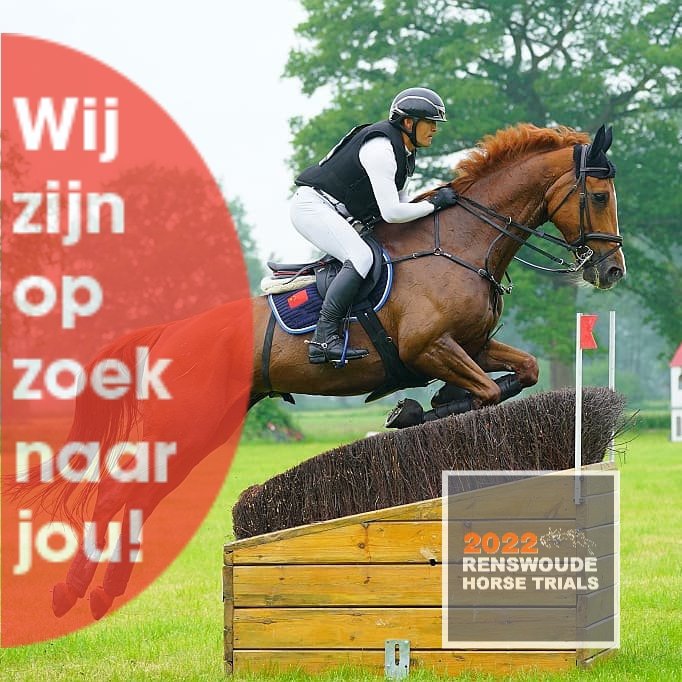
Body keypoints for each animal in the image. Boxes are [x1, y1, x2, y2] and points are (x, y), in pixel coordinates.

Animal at [43, 123, 624, 620]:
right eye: (599, 196)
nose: (611, 270)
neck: (461, 245)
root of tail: (172, 332)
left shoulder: (474, 346)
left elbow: (522, 373)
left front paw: (425, 407)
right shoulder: (430, 347)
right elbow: (484, 393)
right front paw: (413, 410)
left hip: (201, 427)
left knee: (141, 495)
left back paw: (103, 592)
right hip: (187, 421)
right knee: (117, 495)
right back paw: (70, 592)